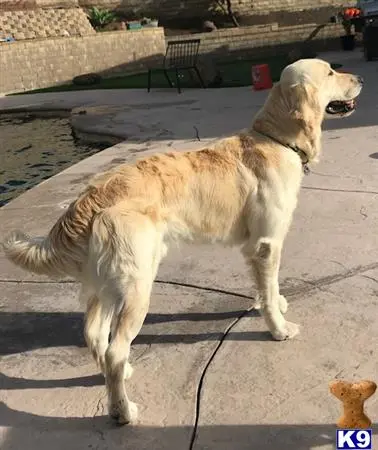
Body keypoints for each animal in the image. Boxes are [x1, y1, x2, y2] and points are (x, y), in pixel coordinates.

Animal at [3, 59, 364, 426]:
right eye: (330, 73)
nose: (360, 77)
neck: (275, 139)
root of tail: (91, 195)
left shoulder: (256, 247)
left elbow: (267, 286)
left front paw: (273, 302)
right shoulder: (267, 243)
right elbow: (269, 286)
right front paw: (279, 328)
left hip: (108, 282)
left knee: (95, 335)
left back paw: (116, 377)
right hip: (137, 285)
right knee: (115, 348)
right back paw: (123, 411)